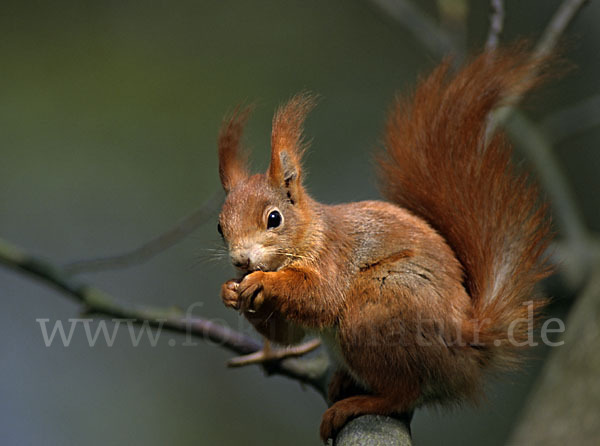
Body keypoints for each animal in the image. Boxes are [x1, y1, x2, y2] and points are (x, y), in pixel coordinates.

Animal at [217, 49, 552, 442]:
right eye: (220, 227)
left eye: (274, 218)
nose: (241, 261)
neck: (311, 232)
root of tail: (466, 341)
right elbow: (288, 334)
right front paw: (230, 291)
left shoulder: (333, 255)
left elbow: (320, 296)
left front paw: (263, 282)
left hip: (375, 312)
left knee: (403, 393)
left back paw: (357, 404)